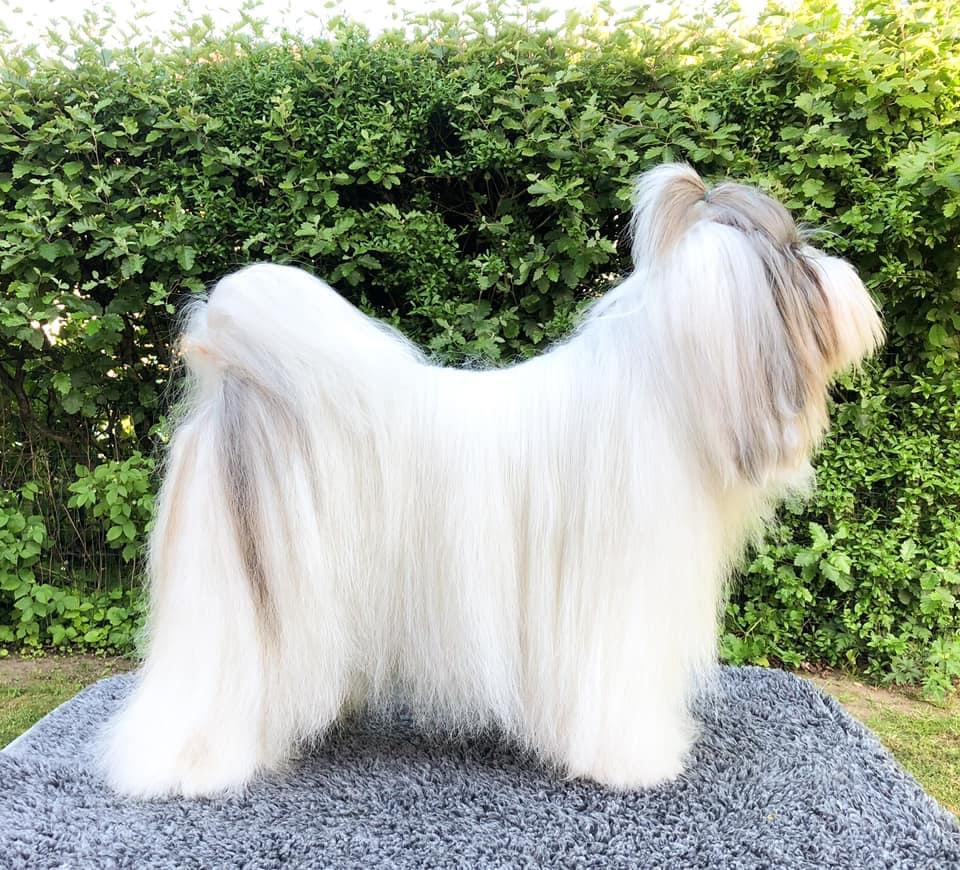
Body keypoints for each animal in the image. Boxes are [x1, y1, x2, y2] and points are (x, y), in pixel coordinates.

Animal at [101, 164, 883, 798]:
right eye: (799, 255)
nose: (848, 275)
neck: (664, 390)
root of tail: (235, 386)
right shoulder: (618, 615)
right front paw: (635, 762)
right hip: (227, 612)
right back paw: (186, 765)